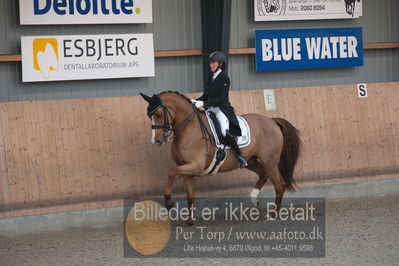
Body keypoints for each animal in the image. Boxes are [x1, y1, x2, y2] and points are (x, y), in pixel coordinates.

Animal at [141, 90, 300, 223]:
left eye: (159, 114)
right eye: (149, 115)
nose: (156, 140)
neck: (187, 127)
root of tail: (271, 121)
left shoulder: (195, 166)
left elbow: (171, 172)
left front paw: (169, 202)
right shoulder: (187, 170)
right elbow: (190, 194)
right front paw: (190, 221)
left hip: (269, 161)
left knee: (279, 184)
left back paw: (273, 214)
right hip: (251, 161)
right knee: (263, 175)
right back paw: (255, 200)